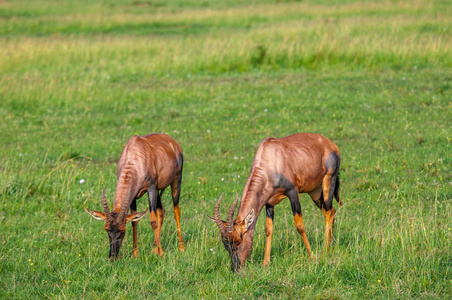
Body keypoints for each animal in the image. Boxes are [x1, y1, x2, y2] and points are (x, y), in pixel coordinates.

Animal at [212, 134, 342, 272]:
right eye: (226, 244)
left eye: (238, 239)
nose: (236, 268)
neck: (269, 160)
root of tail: (330, 144)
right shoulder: (269, 203)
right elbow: (268, 229)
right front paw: (265, 263)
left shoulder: (293, 192)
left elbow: (299, 226)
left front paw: (312, 257)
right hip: (315, 192)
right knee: (331, 211)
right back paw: (330, 247)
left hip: (328, 181)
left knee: (328, 213)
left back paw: (324, 251)